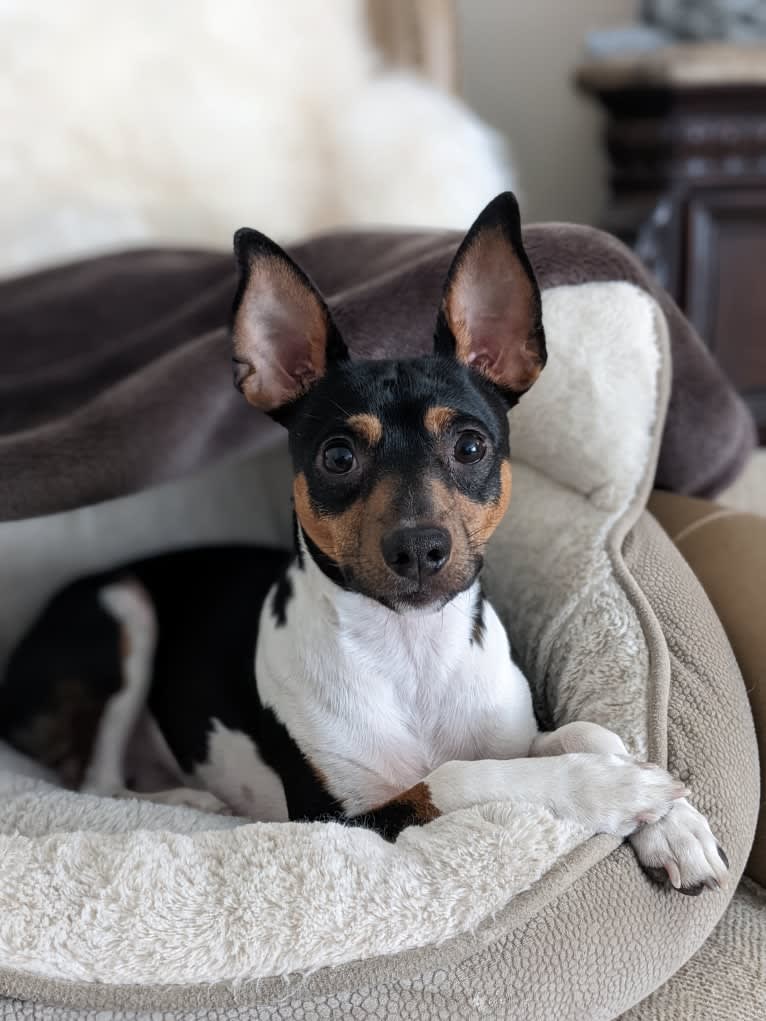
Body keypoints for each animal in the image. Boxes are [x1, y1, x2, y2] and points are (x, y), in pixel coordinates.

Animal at [1, 192, 731, 894]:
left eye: (471, 446)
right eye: (337, 457)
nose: (419, 548)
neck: (411, 652)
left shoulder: (515, 735)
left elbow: (586, 730)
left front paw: (671, 819)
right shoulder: (342, 816)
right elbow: (457, 776)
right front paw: (612, 788)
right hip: (125, 610)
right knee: (96, 779)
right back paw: (191, 800)